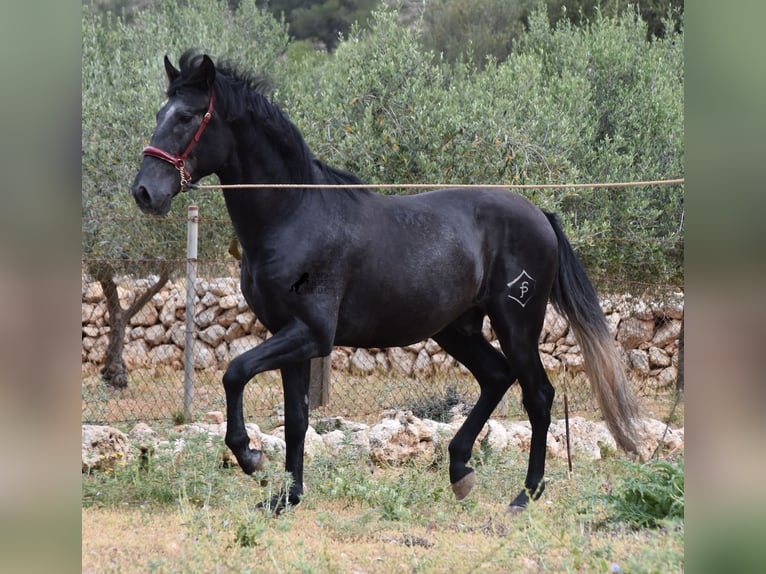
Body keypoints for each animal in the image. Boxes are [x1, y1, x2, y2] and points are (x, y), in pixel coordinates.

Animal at [134, 50, 640, 516]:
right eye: (159, 114)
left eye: (187, 116)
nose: (144, 192)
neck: (295, 214)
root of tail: (540, 215)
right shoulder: (288, 334)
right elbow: (296, 419)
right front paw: (286, 497)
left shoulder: (311, 334)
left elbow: (235, 372)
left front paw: (249, 456)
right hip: (457, 328)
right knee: (496, 376)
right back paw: (460, 471)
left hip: (517, 322)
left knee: (537, 395)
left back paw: (525, 494)